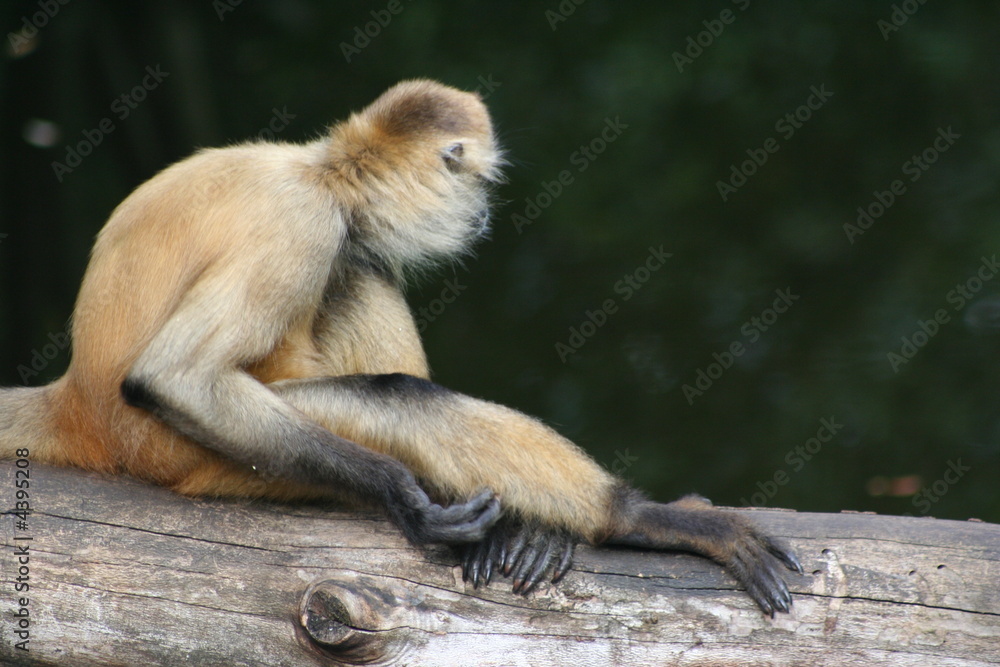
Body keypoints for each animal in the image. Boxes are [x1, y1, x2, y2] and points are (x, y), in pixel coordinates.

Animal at [0, 79, 801, 615]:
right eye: (478, 183)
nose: (483, 213)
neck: (315, 167)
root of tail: (79, 401)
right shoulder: (306, 219)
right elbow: (175, 378)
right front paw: (408, 502)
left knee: (358, 270)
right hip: (184, 453)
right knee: (392, 383)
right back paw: (636, 518)